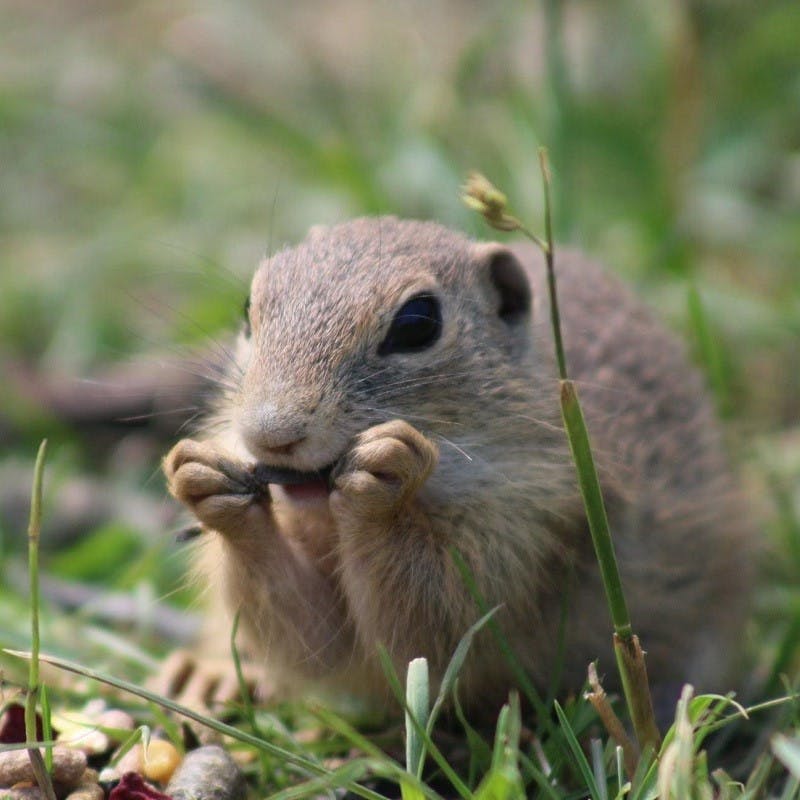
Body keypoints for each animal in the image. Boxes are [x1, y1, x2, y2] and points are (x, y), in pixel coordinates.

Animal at [161, 216, 752, 716]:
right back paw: (210, 674)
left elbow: (425, 633)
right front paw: (205, 483)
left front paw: (384, 480)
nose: (271, 435)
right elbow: (311, 641)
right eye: (248, 308)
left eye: (418, 322)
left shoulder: (531, 532)